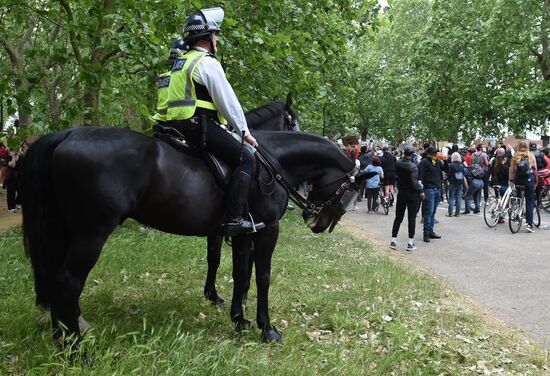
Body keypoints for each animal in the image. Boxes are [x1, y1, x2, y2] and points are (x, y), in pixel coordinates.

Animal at [21, 104, 368, 346]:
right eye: (352, 191)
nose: (319, 222)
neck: (270, 160)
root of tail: (67, 134)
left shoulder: (242, 232)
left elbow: (240, 272)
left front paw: (238, 318)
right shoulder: (267, 230)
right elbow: (262, 276)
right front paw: (266, 328)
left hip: (62, 230)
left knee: (53, 277)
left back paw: (63, 335)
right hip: (90, 235)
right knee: (67, 282)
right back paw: (75, 348)